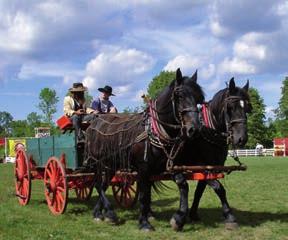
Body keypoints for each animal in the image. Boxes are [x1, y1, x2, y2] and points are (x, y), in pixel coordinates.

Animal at [84, 68, 206, 231]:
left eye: (199, 99)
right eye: (179, 95)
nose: (195, 129)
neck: (154, 130)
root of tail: (94, 123)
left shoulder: (167, 166)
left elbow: (182, 185)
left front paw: (178, 219)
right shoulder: (143, 168)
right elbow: (143, 195)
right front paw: (144, 223)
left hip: (112, 164)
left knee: (103, 184)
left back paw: (99, 213)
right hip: (99, 163)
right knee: (98, 184)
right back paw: (109, 212)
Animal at [181, 77, 251, 229]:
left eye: (248, 108)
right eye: (230, 108)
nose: (241, 138)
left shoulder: (209, 168)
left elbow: (199, 191)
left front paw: (193, 214)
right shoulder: (204, 167)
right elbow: (219, 188)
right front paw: (229, 215)